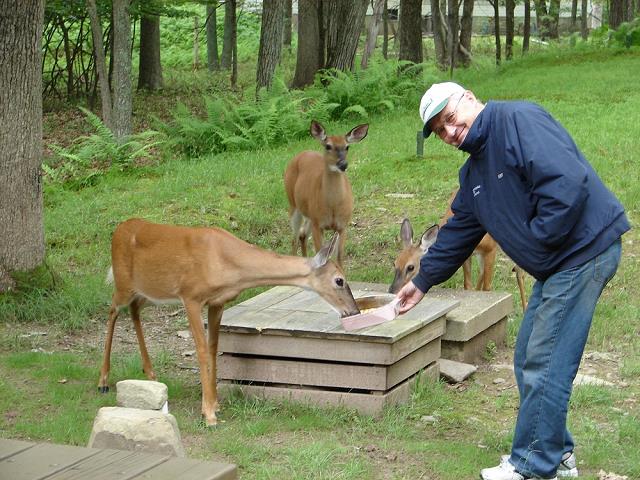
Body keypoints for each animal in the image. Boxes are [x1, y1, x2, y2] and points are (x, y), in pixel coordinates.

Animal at [99, 218, 360, 424]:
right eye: (339, 280)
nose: (354, 310)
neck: (230, 265)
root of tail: (119, 229)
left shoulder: (217, 302)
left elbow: (214, 348)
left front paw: (215, 404)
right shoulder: (191, 296)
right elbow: (202, 350)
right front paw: (208, 414)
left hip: (148, 292)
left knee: (134, 310)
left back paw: (151, 373)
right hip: (123, 283)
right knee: (112, 311)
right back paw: (103, 380)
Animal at [284, 118, 368, 268]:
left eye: (347, 147)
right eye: (328, 146)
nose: (343, 164)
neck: (333, 206)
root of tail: (301, 154)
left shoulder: (342, 225)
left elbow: (338, 257)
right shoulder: (318, 225)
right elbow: (321, 255)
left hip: (309, 214)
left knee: (302, 235)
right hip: (293, 205)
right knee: (294, 238)